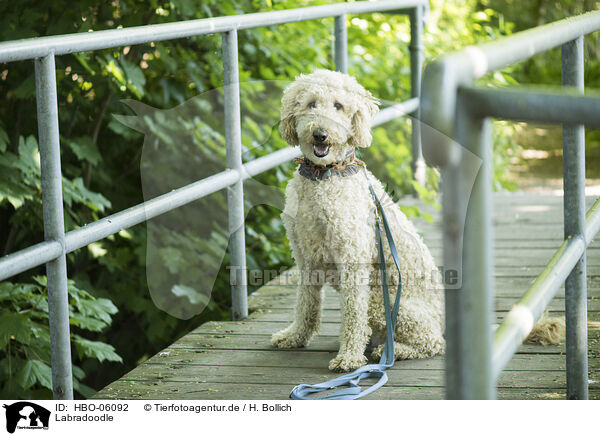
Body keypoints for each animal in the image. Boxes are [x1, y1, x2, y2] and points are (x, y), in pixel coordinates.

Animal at [272, 70, 446, 372]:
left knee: (432, 342)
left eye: (339, 106)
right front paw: (295, 336)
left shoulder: (352, 258)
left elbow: (354, 315)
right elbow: (306, 304)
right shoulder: (305, 257)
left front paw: (349, 357)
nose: (321, 133)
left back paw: (390, 351)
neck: (324, 176)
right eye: (311, 104)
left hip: (384, 303)